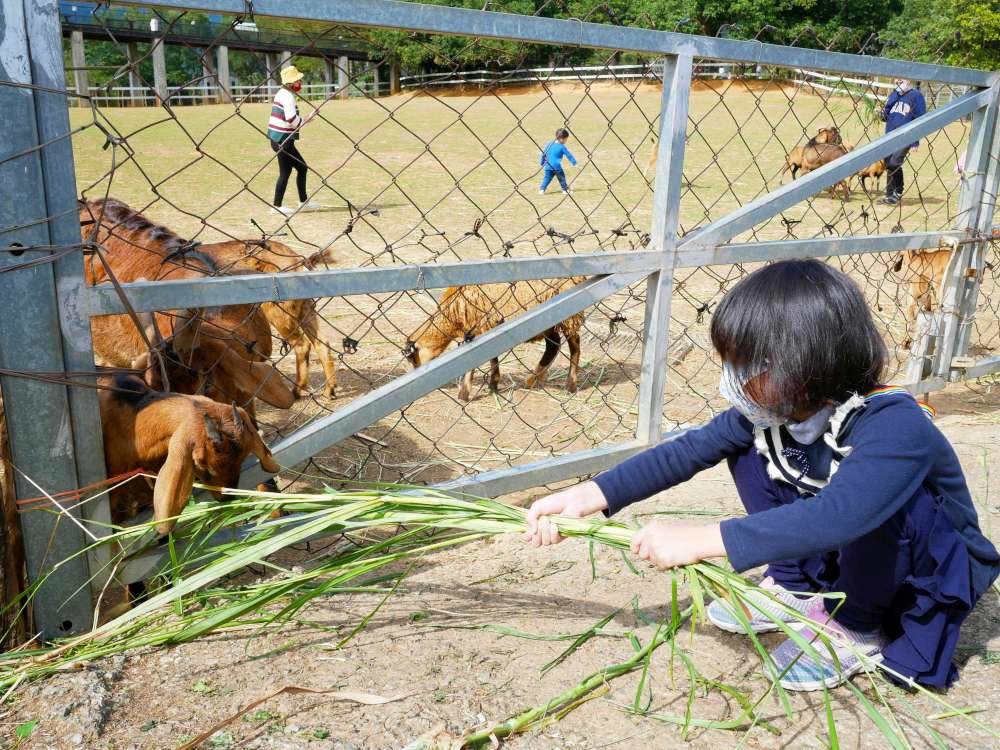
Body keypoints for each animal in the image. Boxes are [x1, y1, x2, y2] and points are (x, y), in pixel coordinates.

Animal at [402, 280, 584, 402]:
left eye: (413, 358)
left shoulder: (480, 327)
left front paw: (464, 394)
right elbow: (492, 358)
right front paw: (493, 384)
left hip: (569, 317)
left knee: (574, 346)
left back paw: (570, 385)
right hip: (549, 319)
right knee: (554, 345)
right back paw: (532, 380)